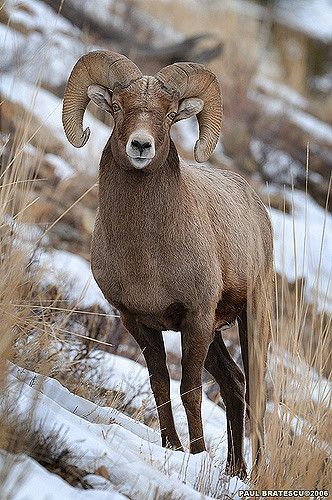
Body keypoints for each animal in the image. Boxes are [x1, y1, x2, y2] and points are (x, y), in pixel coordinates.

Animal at [61, 49, 272, 476]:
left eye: (171, 114)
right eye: (118, 107)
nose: (140, 145)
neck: (147, 255)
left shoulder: (196, 318)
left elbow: (189, 390)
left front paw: (197, 455)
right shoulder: (137, 321)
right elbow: (159, 384)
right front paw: (172, 448)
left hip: (249, 319)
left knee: (255, 391)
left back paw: (254, 475)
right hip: (215, 335)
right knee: (234, 383)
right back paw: (234, 471)